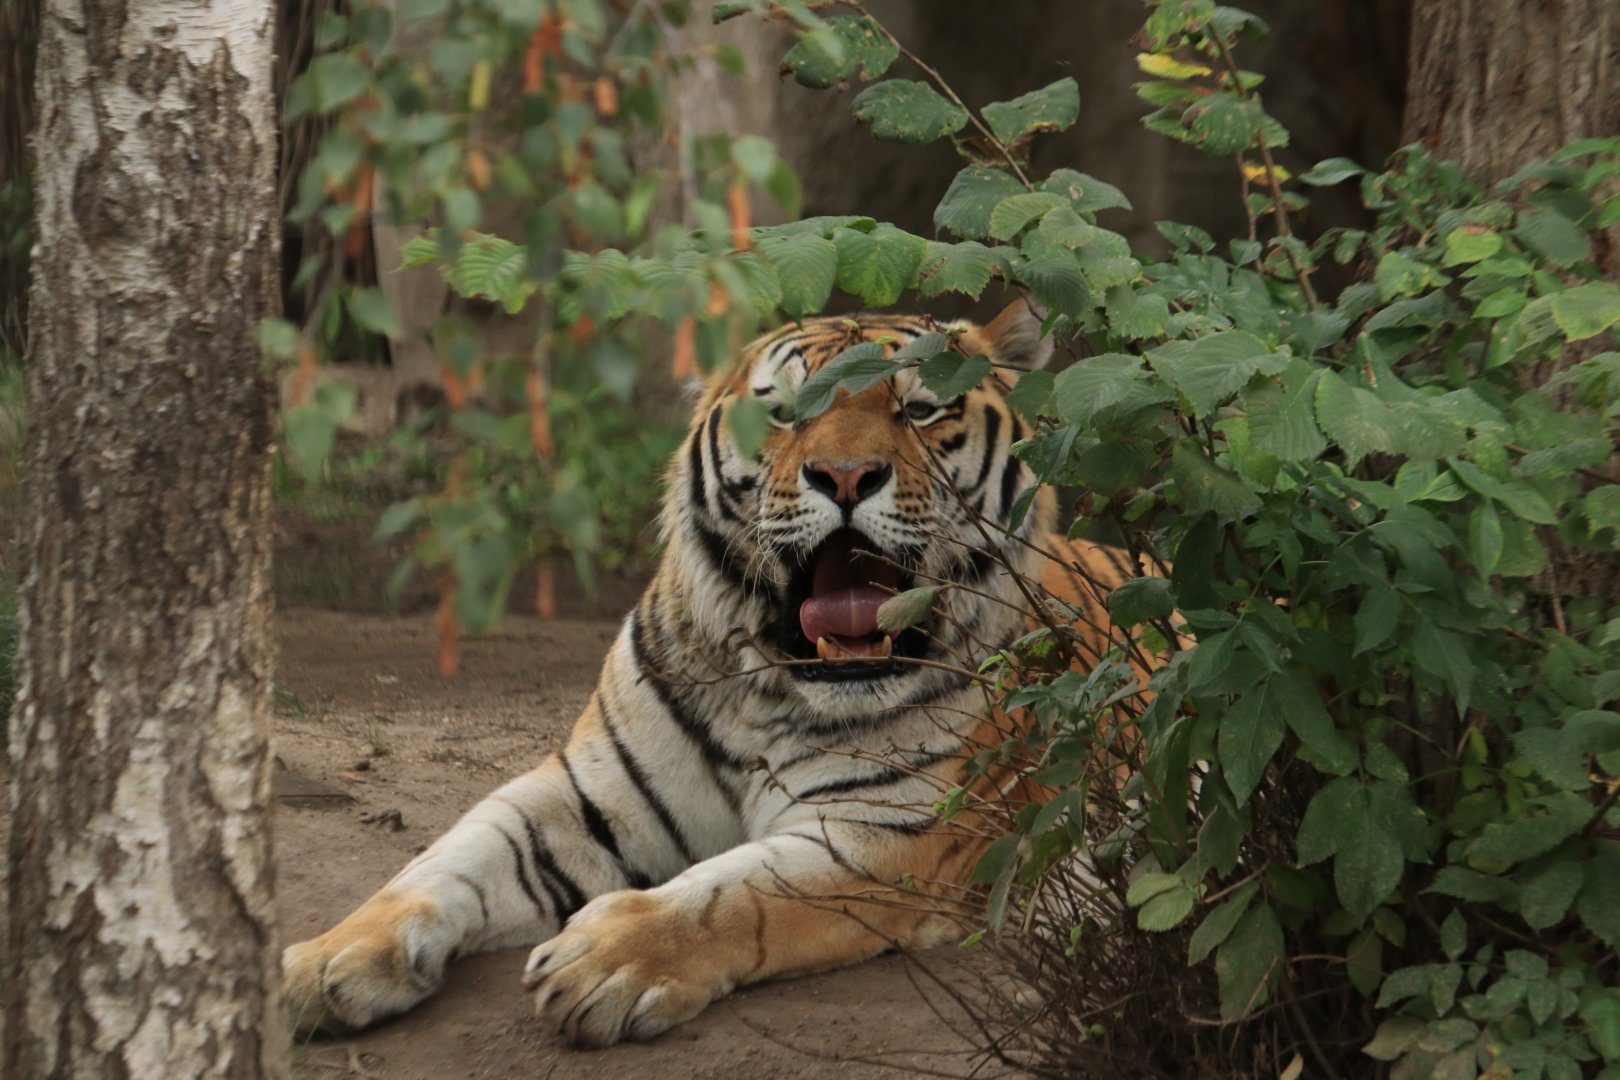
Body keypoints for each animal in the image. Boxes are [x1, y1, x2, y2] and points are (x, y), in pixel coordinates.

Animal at [282, 299, 1148, 1047]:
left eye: (920, 410)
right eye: (784, 412)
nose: (845, 475)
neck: (769, 690)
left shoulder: (887, 833)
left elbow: (733, 893)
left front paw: (603, 962)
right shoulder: (581, 797)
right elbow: (446, 857)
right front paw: (323, 960)